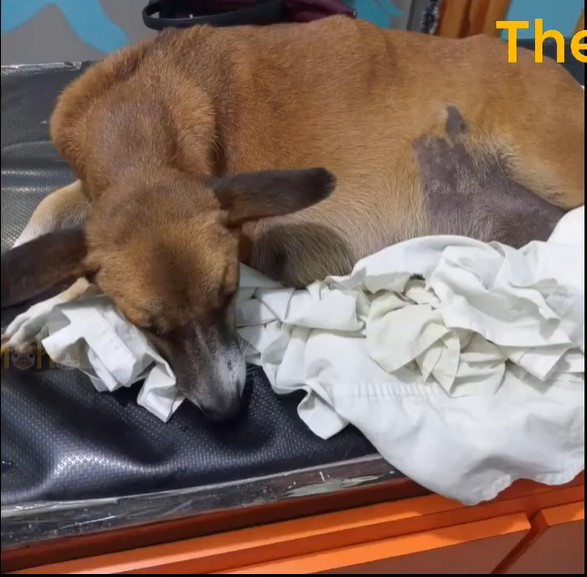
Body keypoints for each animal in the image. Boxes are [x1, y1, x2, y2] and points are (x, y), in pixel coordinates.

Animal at [1, 16, 584, 421]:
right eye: (149, 328)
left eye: (231, 293)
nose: (226, 412)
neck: (136, 130)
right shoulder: (90, 193)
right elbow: (45, 210)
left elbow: (81, 278)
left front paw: (40, 314)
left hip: (554, 164)